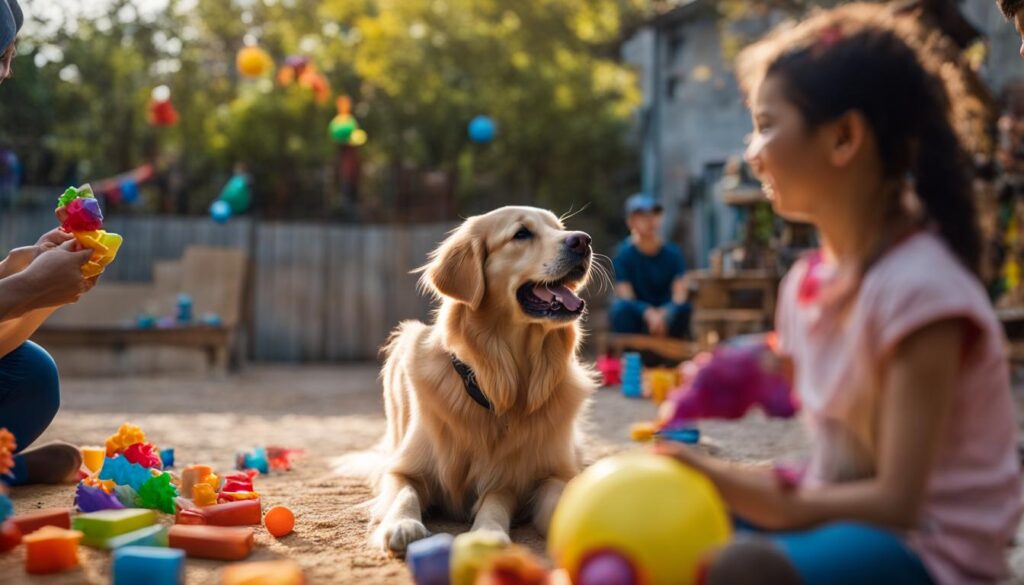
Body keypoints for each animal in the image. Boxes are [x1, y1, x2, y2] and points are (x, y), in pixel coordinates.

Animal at [360, 206, 593, 557]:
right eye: (521, 233)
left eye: (560, 227)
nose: (583, 241)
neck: (499, 384)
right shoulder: (401, 467)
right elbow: (404, 491)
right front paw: (401, 524)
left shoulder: (527, 476)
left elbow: (502, 499)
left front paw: (488, 531)